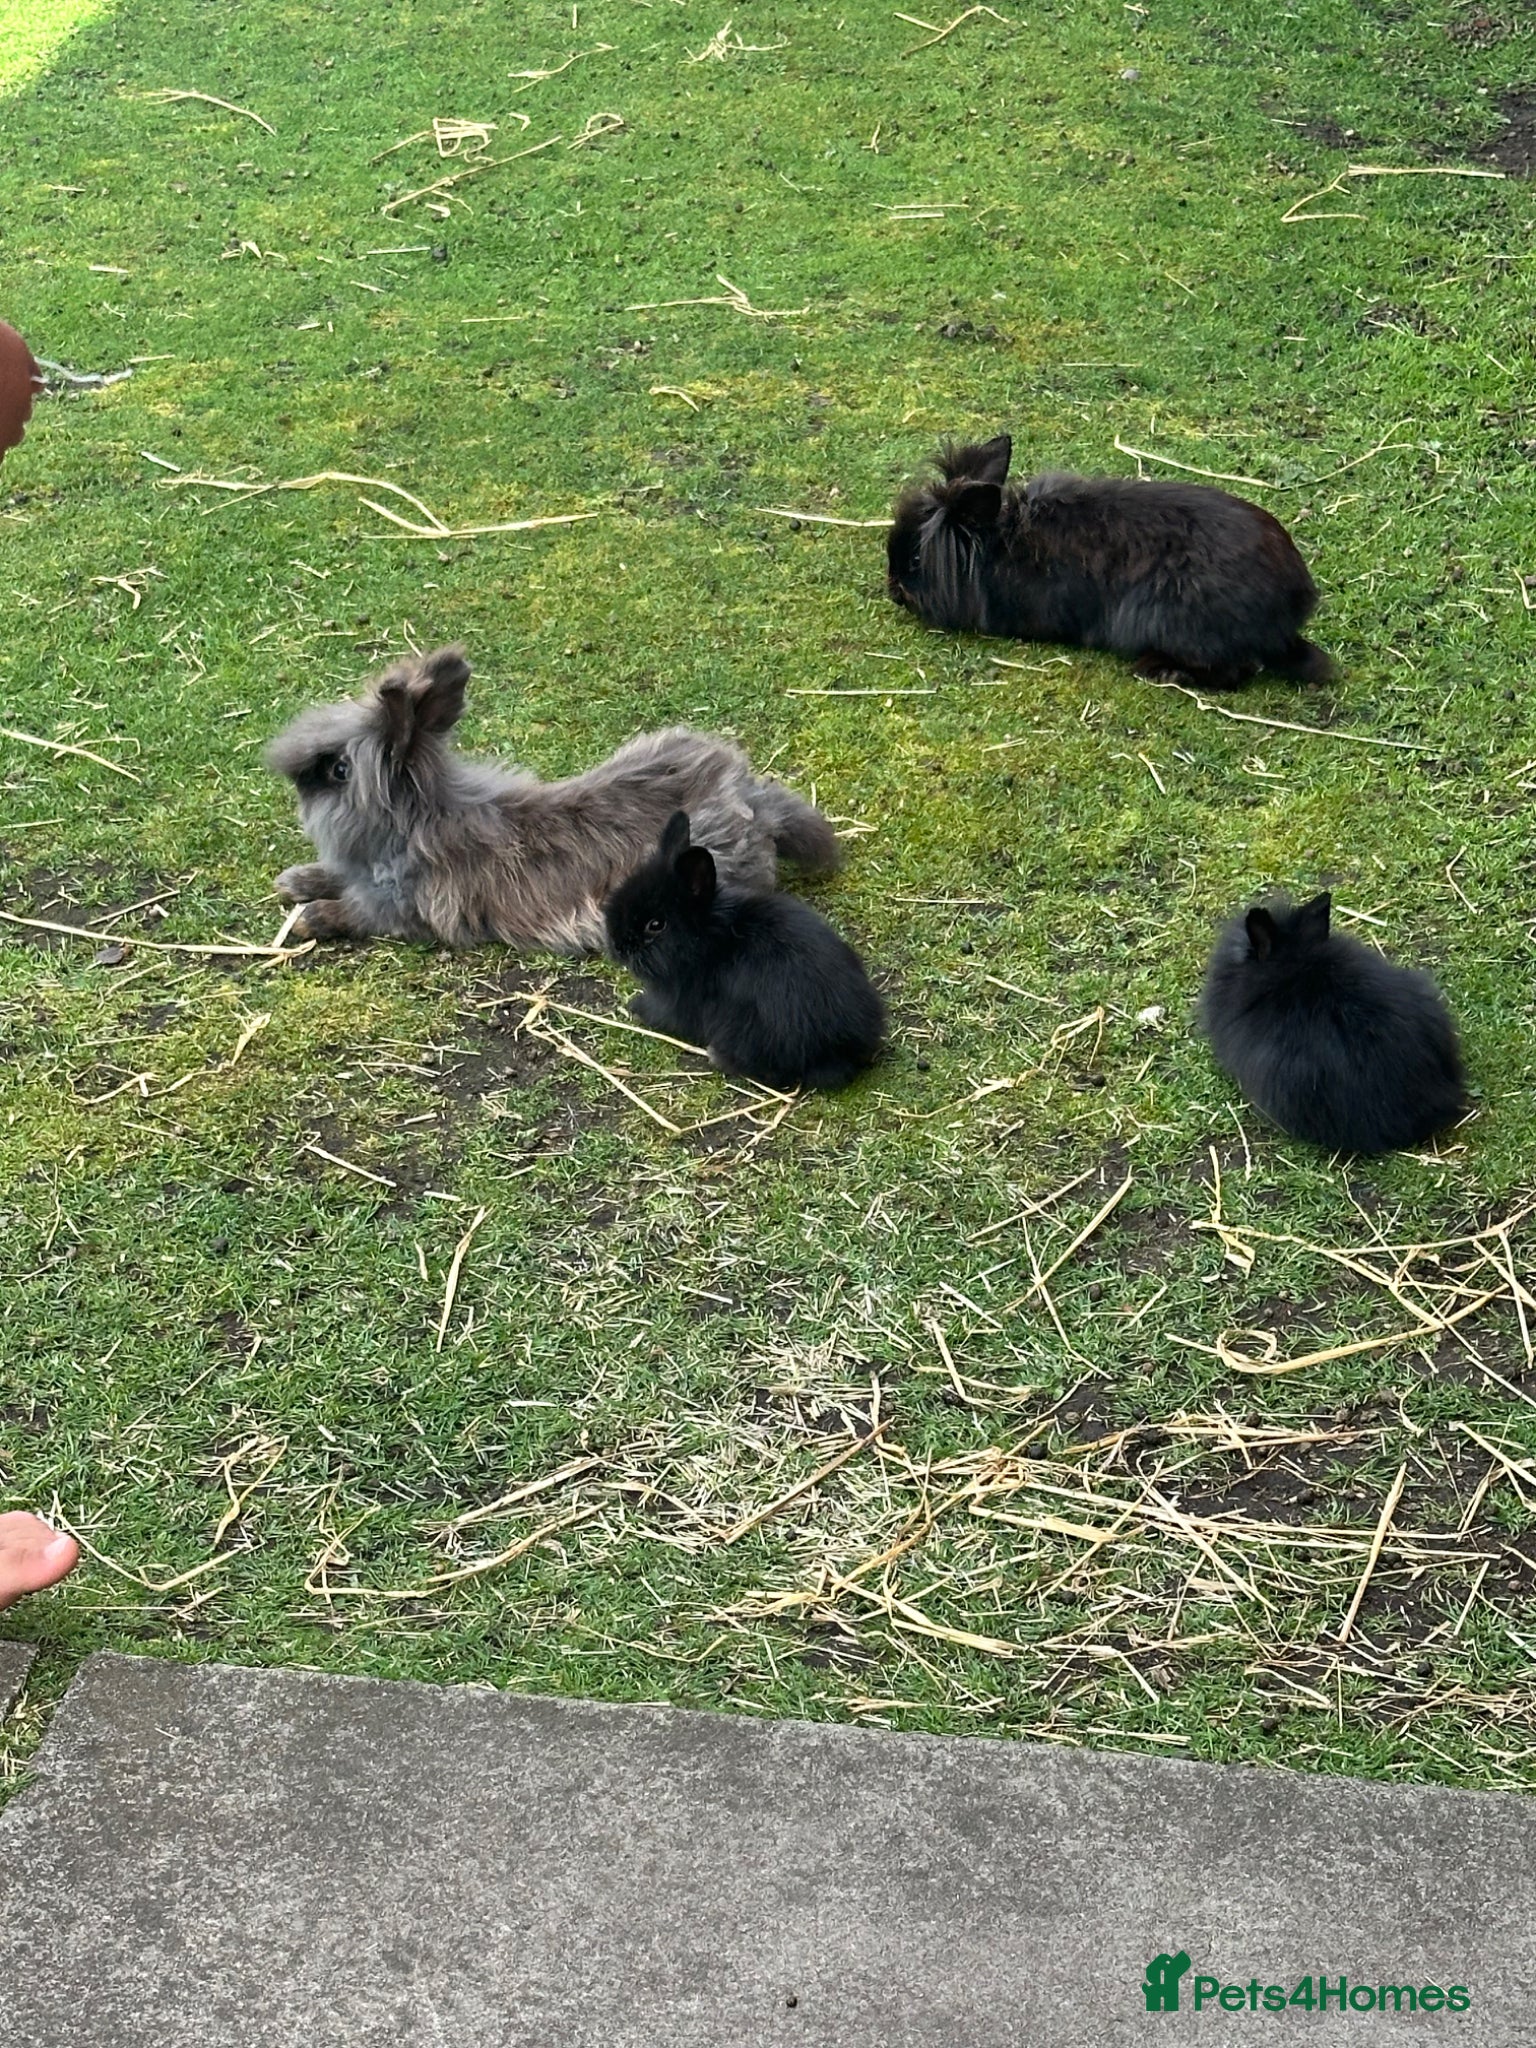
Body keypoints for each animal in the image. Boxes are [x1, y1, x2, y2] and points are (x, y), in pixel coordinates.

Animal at [265, 646, 841, 953]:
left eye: (338, 770)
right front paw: (295, 880)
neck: (416, 821)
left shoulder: (407, 908)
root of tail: (747, 796)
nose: (292, 780)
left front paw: (310, 918)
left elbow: (356, 910)